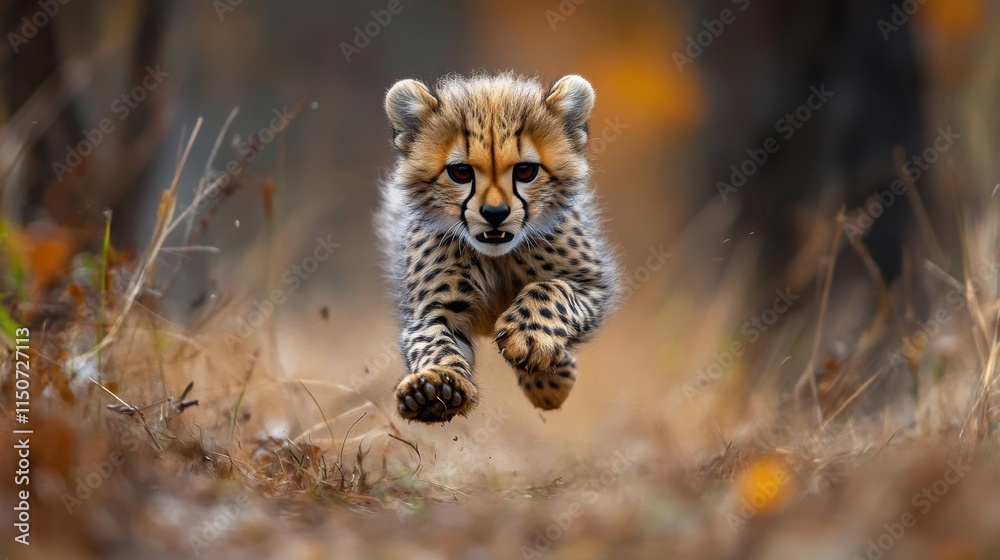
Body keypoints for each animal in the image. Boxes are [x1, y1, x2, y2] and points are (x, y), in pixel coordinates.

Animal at [377, 72, 621, 424]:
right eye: (461, 172)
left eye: (525, 171)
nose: (495, 213)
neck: (497, 258)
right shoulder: (431, 308)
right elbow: (434, 343)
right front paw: (434, 389)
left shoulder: (594, 285)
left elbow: (551, 289)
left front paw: (528, 339)